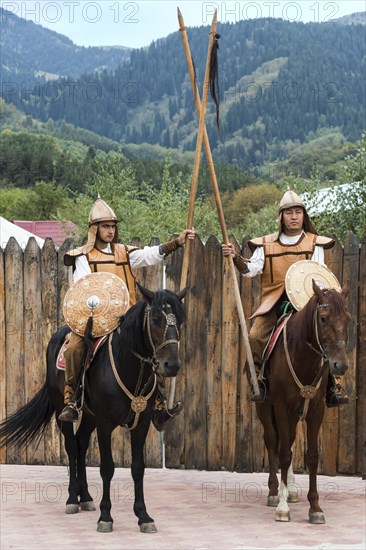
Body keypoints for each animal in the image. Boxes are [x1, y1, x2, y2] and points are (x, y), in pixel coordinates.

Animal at [0, 286, 187, 532]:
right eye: (155, 319)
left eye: (180, 321)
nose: (171, 365)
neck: (127, 363)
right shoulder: (105, 423)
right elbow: (107, 467)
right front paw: (105, 516)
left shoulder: (142, 423)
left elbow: (138, 468)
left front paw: (144, 516)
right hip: (63, 410)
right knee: (72, 446)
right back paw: (72, 499)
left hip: (89, 417)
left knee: (81, 444)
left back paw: (86, 497)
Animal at [256, 280, 350, 528]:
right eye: (323, 318)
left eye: (348, 318)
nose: (340, 365)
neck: (303, 355)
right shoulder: (281, 406)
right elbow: (283, 453)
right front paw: (282, 507)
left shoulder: (316, 410)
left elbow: (311, 456)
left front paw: (315, 508)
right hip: (265, 406)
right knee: (273, 441)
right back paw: (274, 492)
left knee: (288, 440)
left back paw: (290, 490)